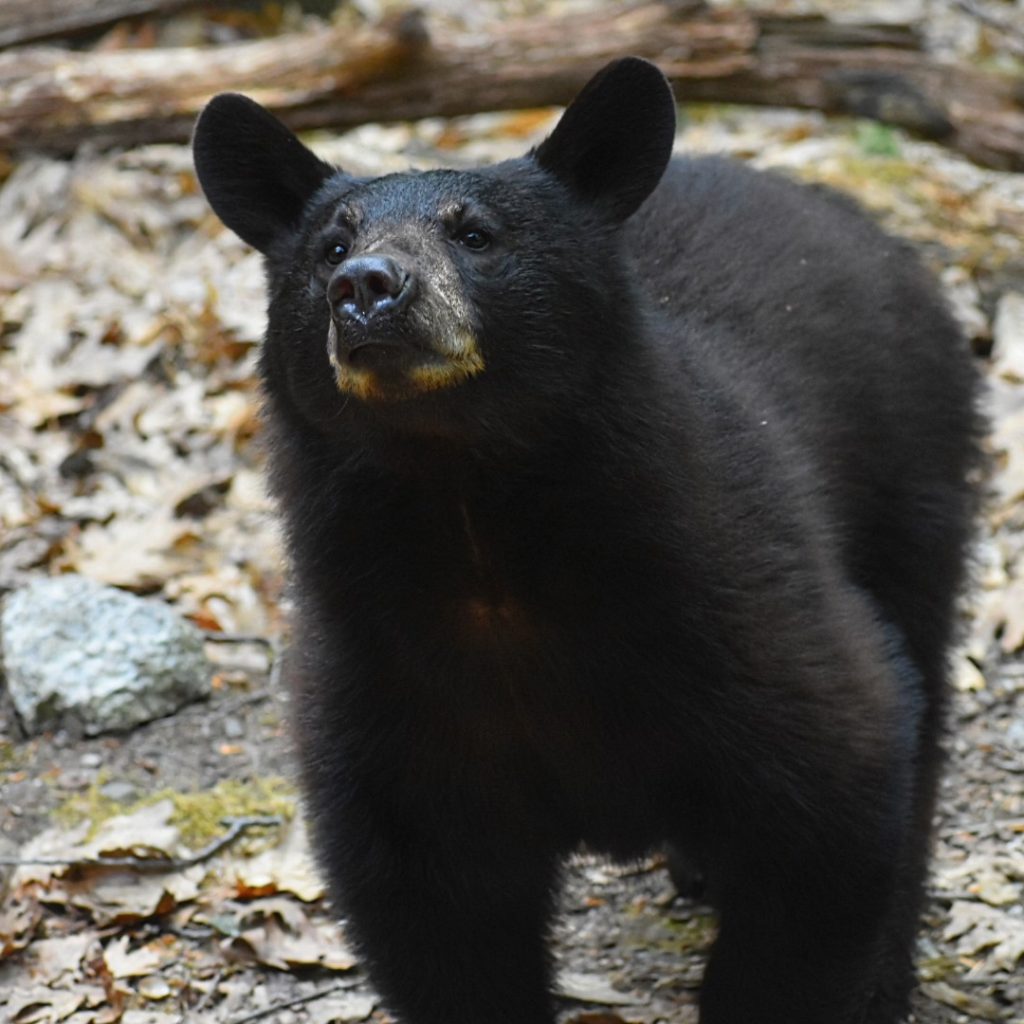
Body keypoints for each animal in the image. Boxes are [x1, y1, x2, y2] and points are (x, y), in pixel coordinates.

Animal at [192, 58, 980, 1024]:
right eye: (329, 251)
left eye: (476, 234)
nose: (369, 289)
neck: (477, 533)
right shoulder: (385, 679)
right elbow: (435, 907)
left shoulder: (737, 605)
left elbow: (833, 792)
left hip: (913, 479)